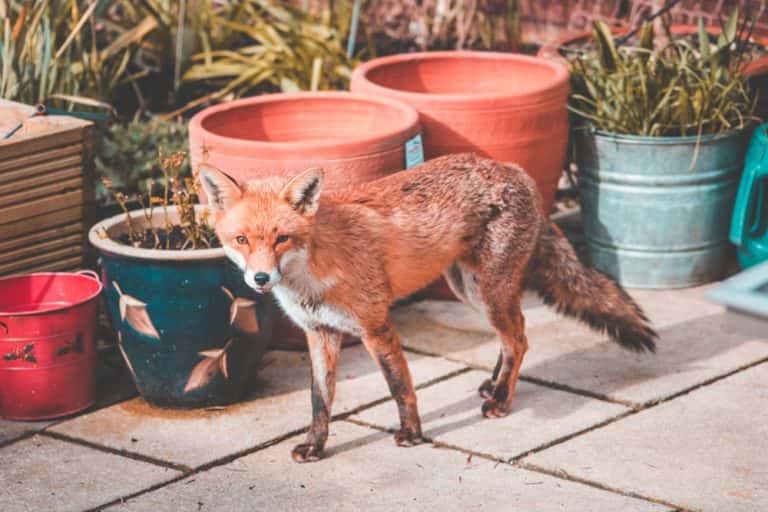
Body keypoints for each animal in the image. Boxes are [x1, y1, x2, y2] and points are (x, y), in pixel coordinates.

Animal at [198, 153, 657, 463]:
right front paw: (316, 445)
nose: (261, 279)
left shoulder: (375, 326)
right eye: (241, 240)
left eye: (282, 239)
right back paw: (495, 384)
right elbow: (319, 401)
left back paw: (501, 401)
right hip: (469, 290)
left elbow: (400, 387)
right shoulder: (320, 333)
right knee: (514, 335)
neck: (313, 273)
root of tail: (514, 170)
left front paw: (412, 434)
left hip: (487, 291)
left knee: (520, 339)